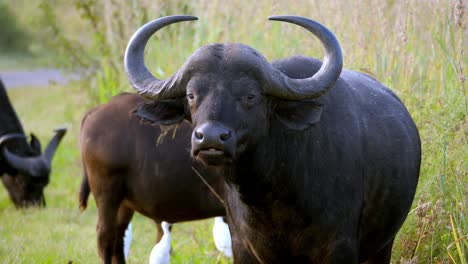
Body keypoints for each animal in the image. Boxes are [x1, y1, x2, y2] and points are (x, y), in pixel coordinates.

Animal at [123, 16, 420, 264]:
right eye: (191, 95)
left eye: (250, 96)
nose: (210, 137)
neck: (271, 197)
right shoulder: (243, 248)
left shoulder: (340, 247)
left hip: (382, 246)